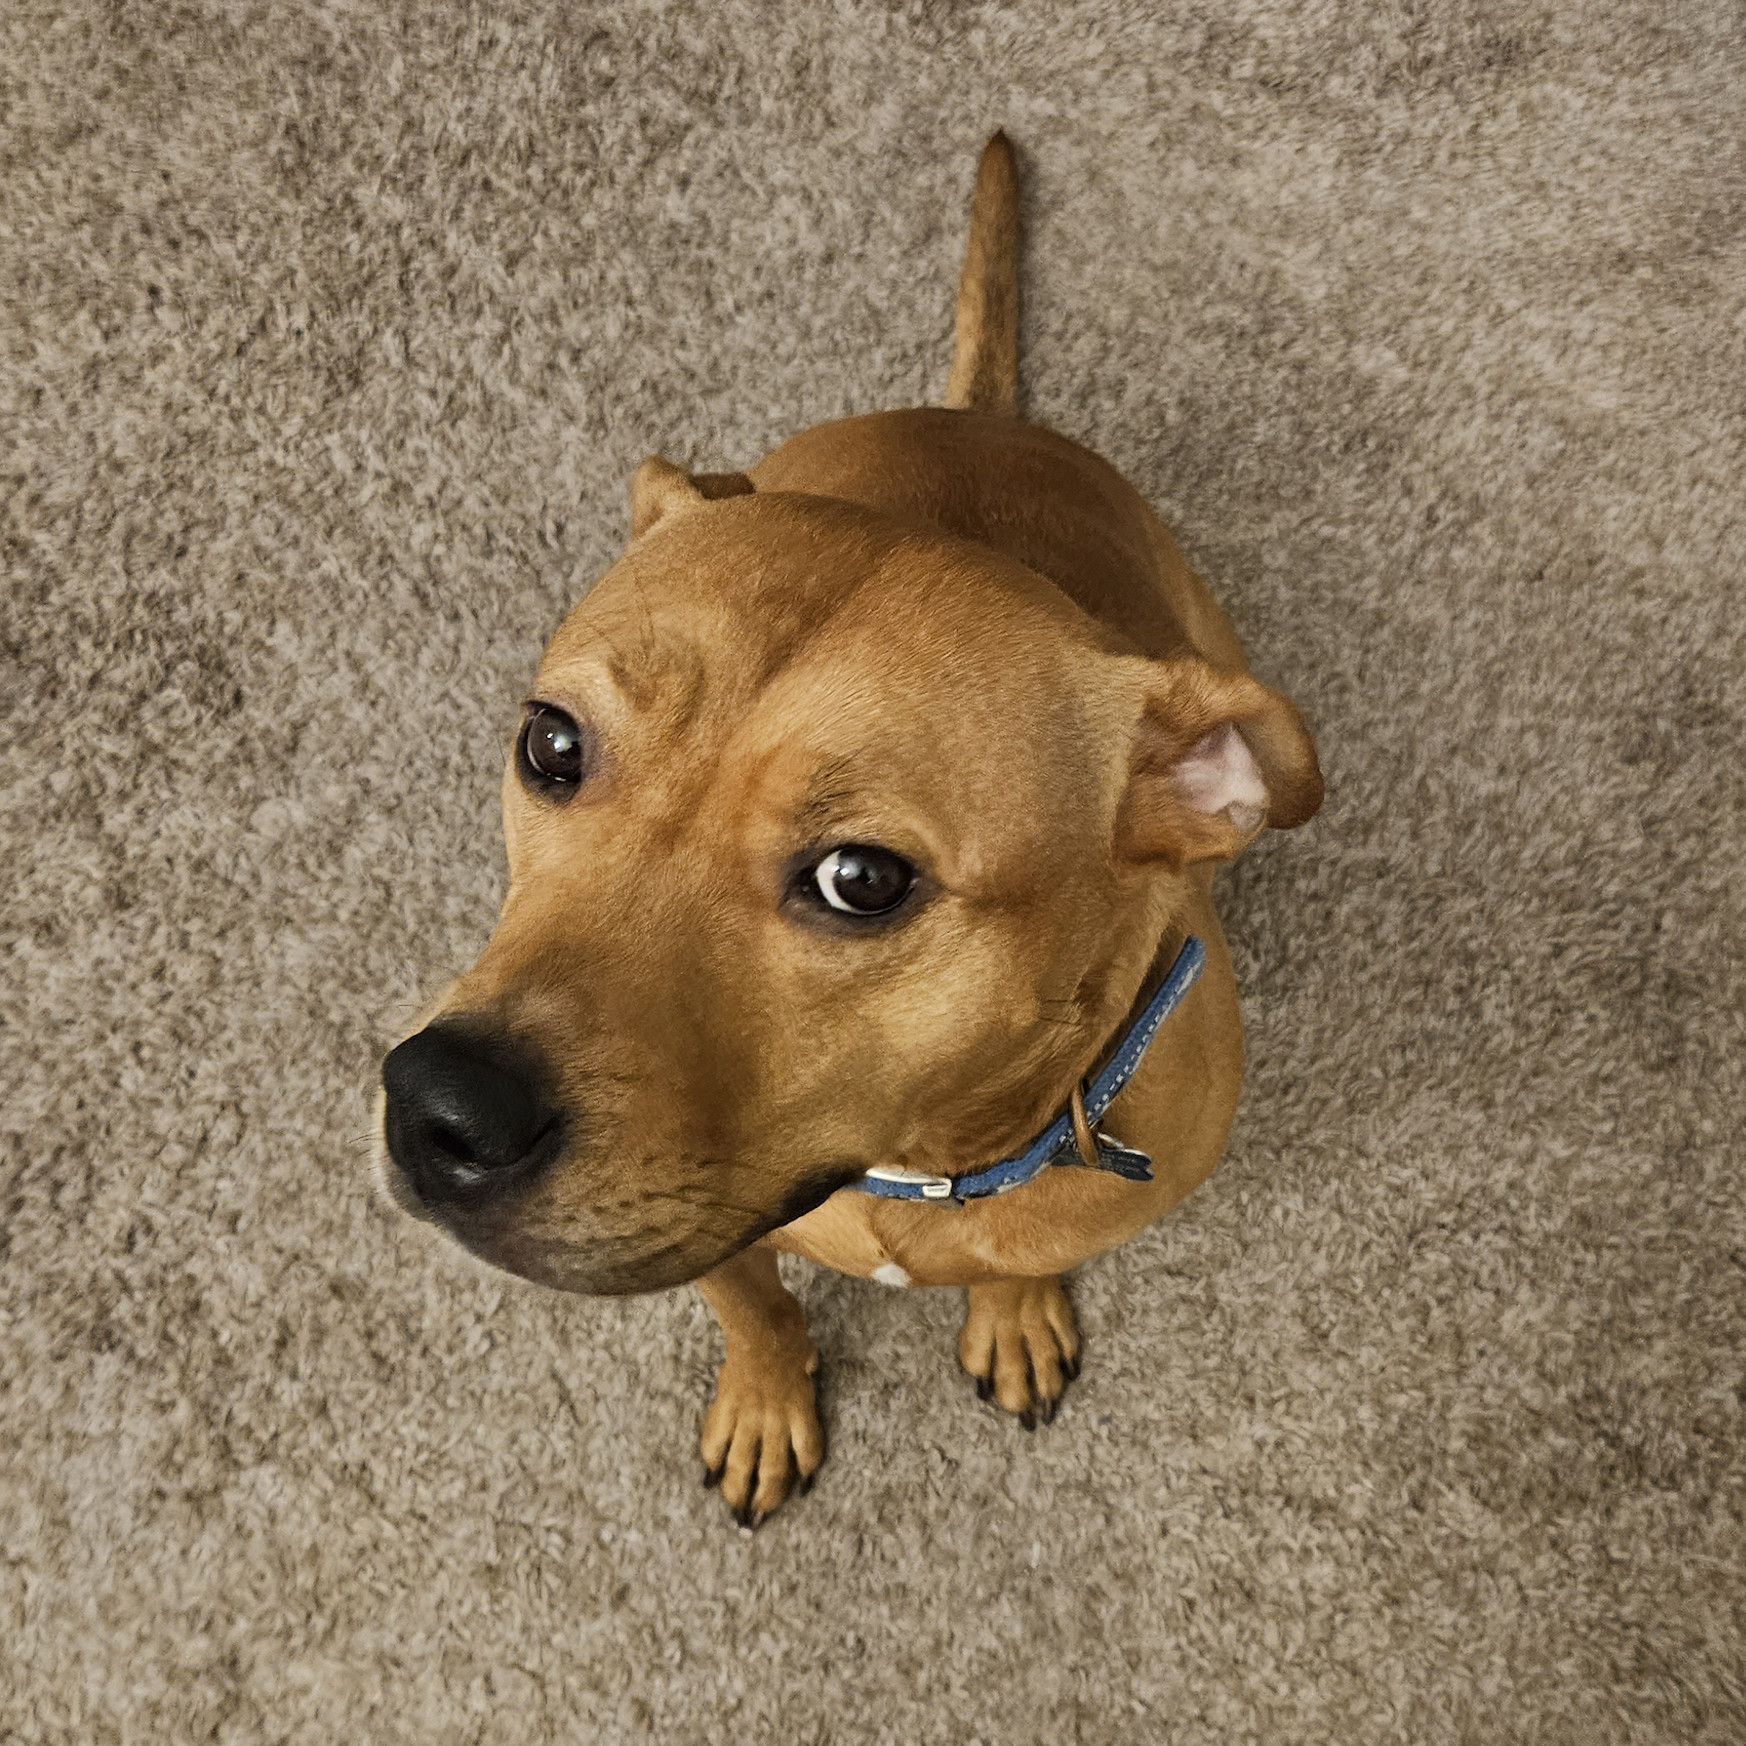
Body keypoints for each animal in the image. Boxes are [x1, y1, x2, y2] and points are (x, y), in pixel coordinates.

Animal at [375, 139, 1312, 1529]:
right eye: (552, 746)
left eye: (860, 879)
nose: (439, 1109)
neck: (916, 1166)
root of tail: (980, 415)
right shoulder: (714, 1243)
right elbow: (755, 1311)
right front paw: (768, 1403)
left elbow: (1018, 1259)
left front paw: (1011, 1309)